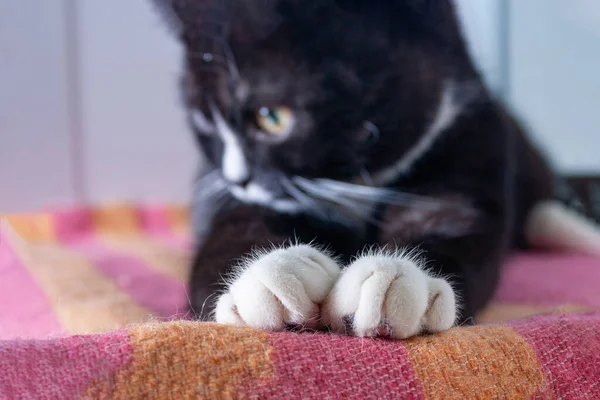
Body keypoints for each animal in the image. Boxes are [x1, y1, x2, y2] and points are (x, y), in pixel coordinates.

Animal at [150, 0, 568, 338]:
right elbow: (231, 233)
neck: (360, 184)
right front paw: (270, 275)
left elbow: (455, 229)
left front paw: (400, 278)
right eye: (205, 121)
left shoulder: (470, 151)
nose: (238, 178)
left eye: (272, 117)